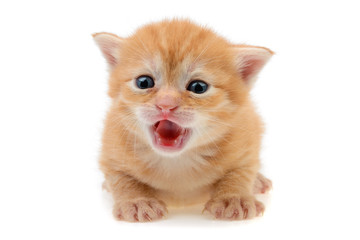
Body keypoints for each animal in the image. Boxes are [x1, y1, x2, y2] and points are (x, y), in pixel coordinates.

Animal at [93, 18, 272, 221]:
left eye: (198, 87)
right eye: (144, 82)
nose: (165, 104)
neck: (176, 161)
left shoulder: (248, 137)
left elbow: (241, 172)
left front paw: (233, 199)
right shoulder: (111, 148)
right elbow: (120, 178)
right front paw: (137, 201)